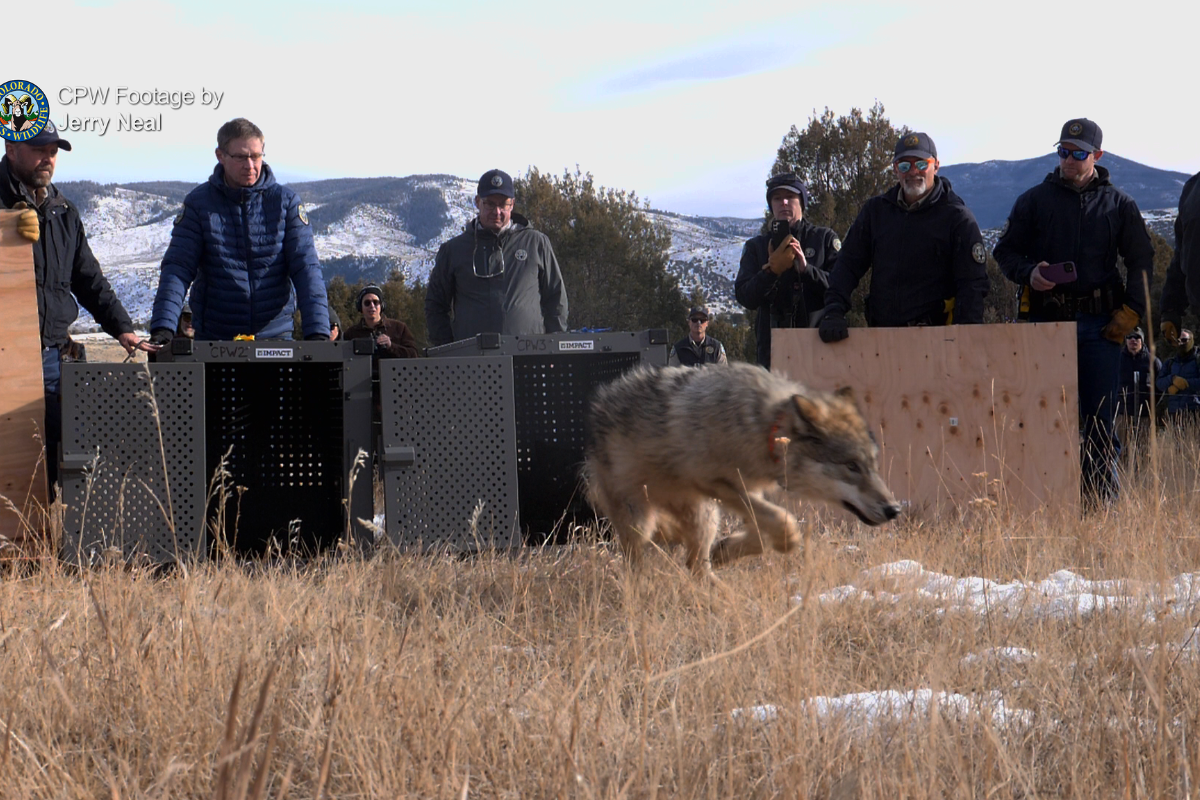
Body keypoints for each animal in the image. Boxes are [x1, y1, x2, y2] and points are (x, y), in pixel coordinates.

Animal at [583, 362, 900, 575]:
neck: (764, 425)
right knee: (639, 562)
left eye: (872, 465)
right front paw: (787, 542)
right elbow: (784, 520)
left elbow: (762, 531)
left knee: (696, 565)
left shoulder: (748, 490)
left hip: (705, 517)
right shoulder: (718, 484)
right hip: (641, 522)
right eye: (851, 466)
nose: (894, 509)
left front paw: (727, 551)